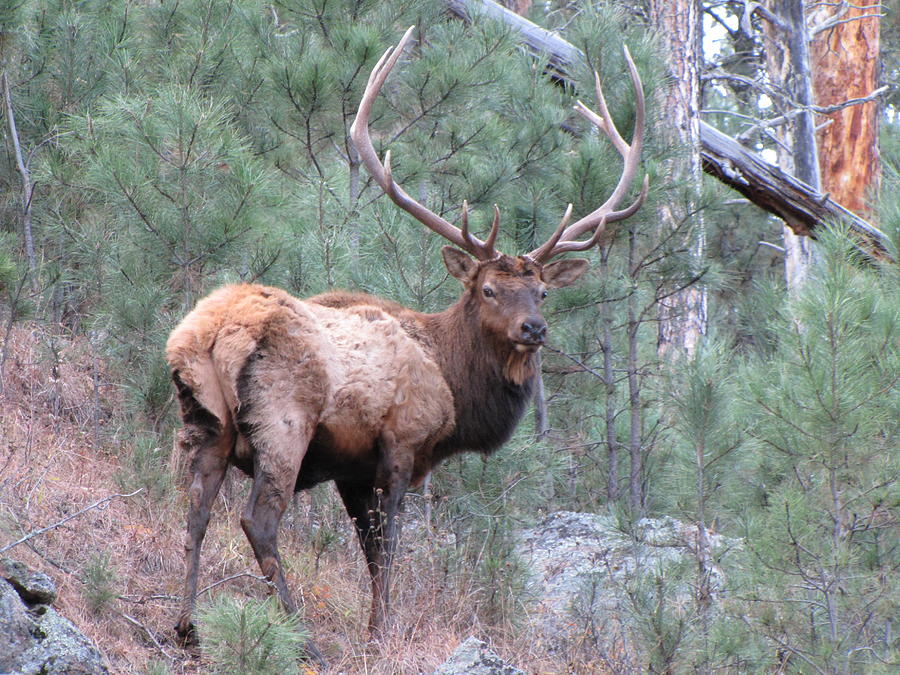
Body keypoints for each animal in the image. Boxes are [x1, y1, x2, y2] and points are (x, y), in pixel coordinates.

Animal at [167, 25, 648, 648]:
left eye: (542, 292)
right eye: (488, 289)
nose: (534, 329)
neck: (455, 388)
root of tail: (209, 330)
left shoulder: (351, 471)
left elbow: (369, 550)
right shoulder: (399, 444)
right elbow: (387, 550)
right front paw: (380, 633)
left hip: (204, 419)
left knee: (195, 509)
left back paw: (187, 624)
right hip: (283, 417)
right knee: (258, 520)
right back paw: (301, 633)